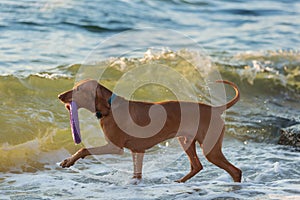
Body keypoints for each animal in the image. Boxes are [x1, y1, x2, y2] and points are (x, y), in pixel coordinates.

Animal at [58, 79, 241, 182]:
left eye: (78, 89)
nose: (59, 95)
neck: (109, 107)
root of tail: (215, 109)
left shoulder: (115, 147)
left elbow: (84, 149)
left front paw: (68, 161)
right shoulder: (137, 150)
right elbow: (137, 174)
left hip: (211, 150)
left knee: (236, 171)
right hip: (186, 142)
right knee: (197, 166)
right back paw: (179, 182)